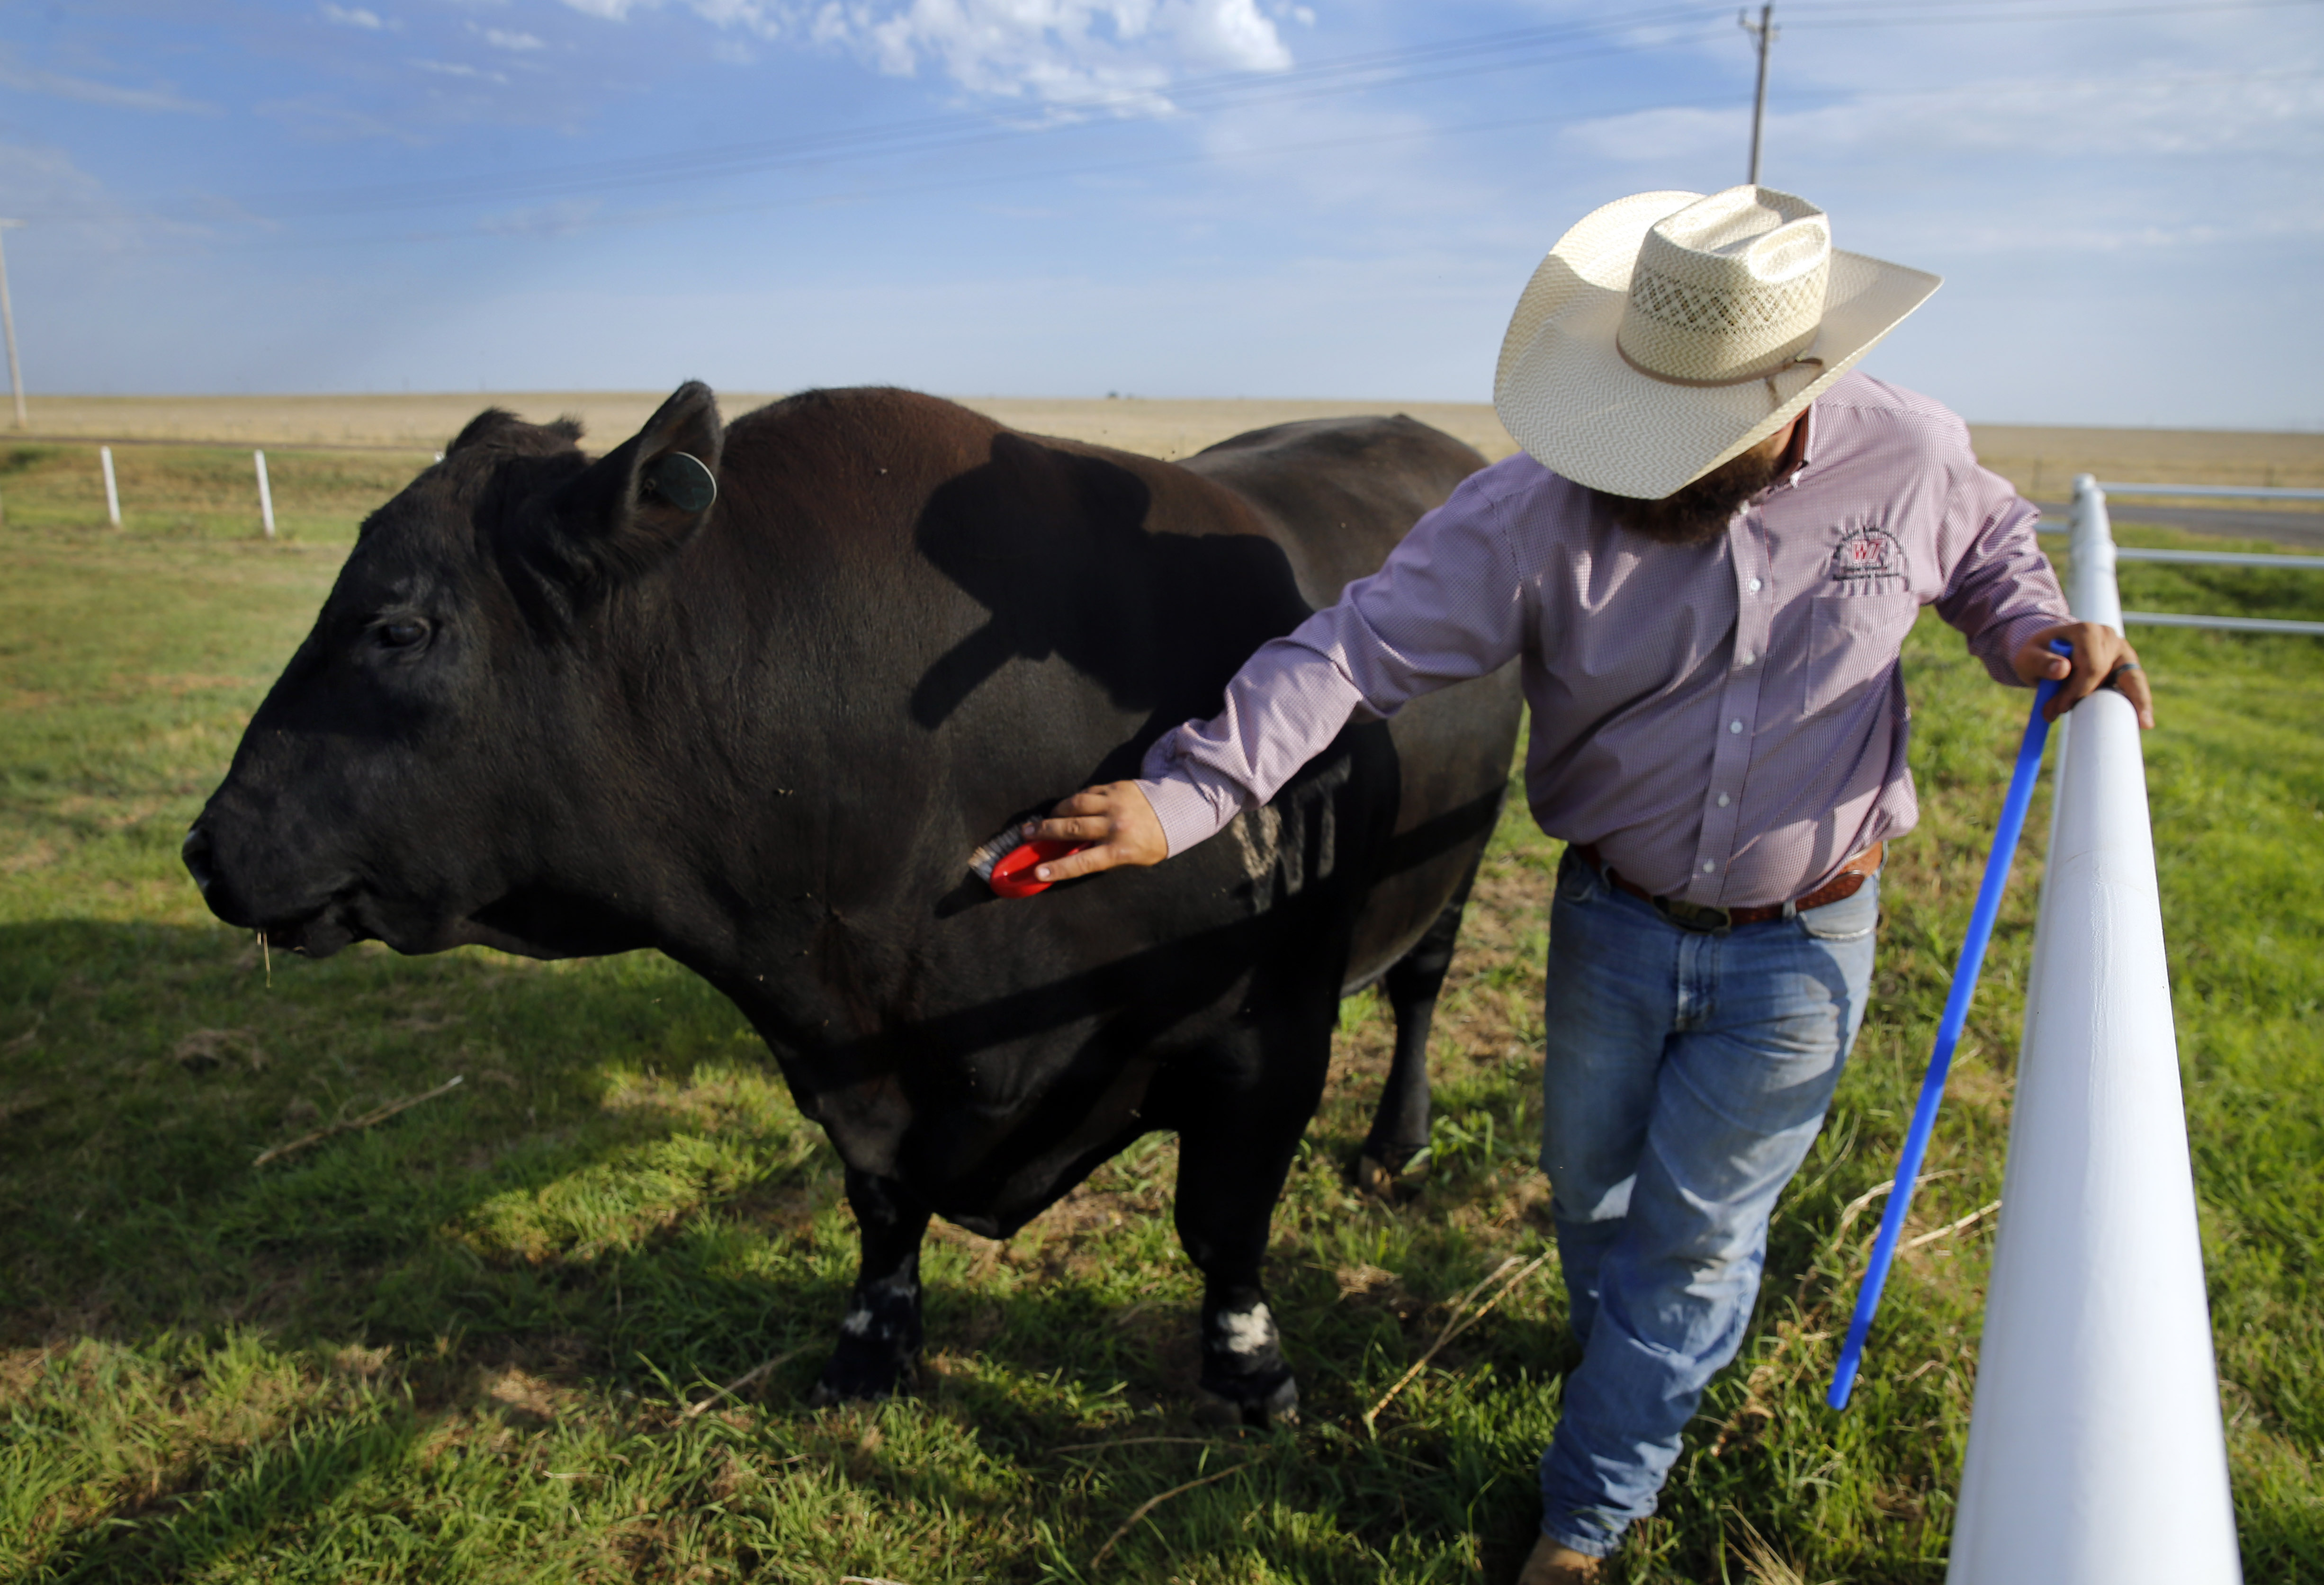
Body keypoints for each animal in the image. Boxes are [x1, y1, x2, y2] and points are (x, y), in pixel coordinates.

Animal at [181, 383, 1524, 1422]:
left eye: (398, 626)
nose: (205, 846)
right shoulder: (838, 1045)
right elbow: (880, 1207)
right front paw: (870, 1351)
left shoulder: (1265, 1029)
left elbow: (1225, 1222)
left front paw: (1248, 1375)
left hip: (1451, 870)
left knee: (1419, 984)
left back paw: (1395, 1143)